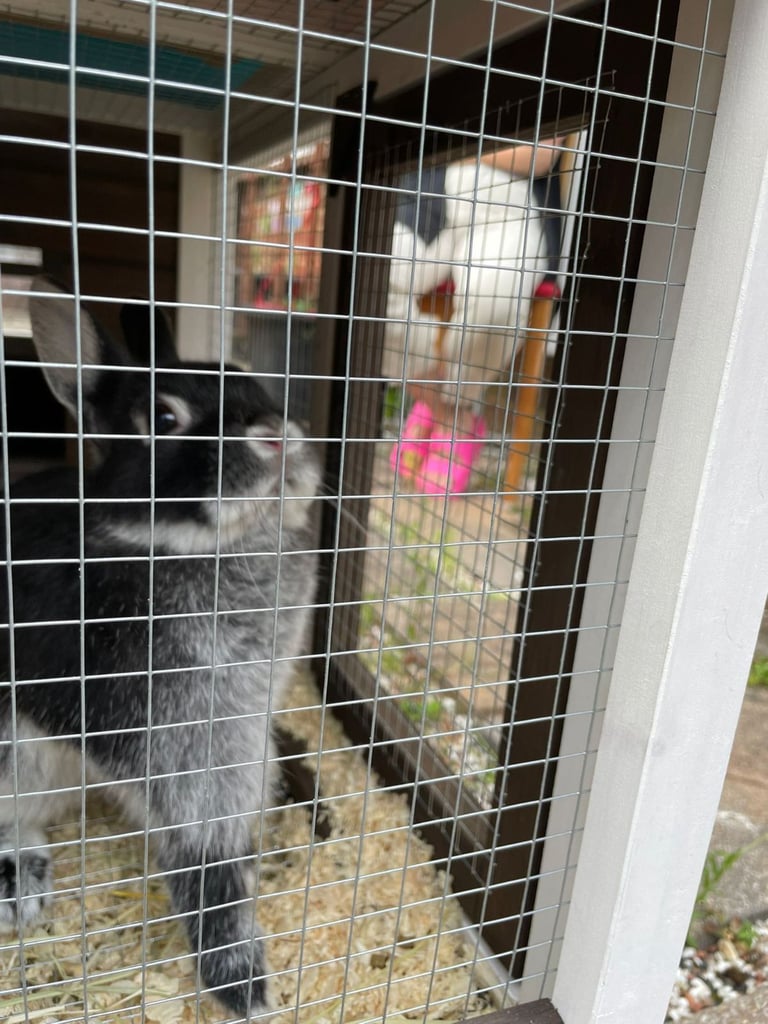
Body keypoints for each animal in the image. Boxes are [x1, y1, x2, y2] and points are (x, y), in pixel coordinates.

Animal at [0, 278, 321, 1018]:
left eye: (249, 380)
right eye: (165, 418)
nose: (277, 437)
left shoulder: (245, 722)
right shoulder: (173, 740)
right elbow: (206, 852)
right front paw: (243, 984)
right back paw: (19, 881)